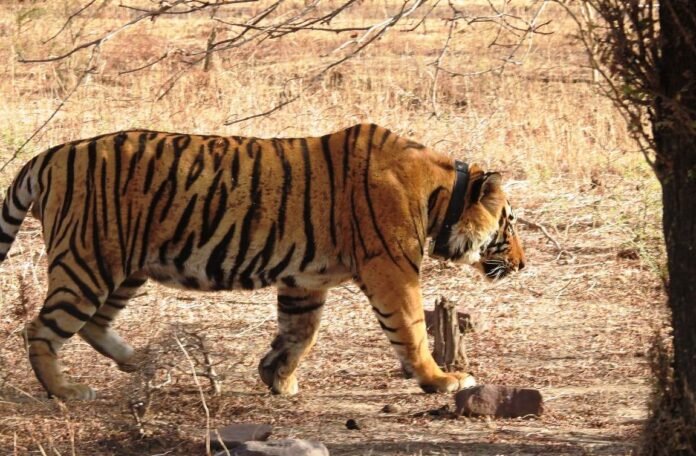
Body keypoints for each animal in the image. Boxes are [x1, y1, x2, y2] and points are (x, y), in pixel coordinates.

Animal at [0, 123, 525, 400]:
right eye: (511, 224)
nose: (521, 264)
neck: (441, 196)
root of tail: (49, 155)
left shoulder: (304, 280)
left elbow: (299, 333)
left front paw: (278, 379)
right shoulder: (392, 270)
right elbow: (412, 330)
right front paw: (442, 379)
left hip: (125, 267)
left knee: (93, 324)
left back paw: (140, 360)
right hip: (88, 263)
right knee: (41, 329)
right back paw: (66, 391)